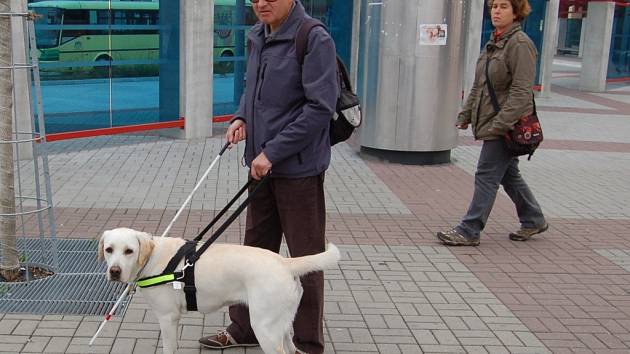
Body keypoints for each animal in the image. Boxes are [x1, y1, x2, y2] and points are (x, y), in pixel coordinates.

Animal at [100, 228, 340, 352]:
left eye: (129, 251)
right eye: (109, 249)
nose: (114, 271)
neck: (152, 257)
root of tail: (284, 262)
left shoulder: (168, 318)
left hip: (265, 328)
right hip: (281, 324)